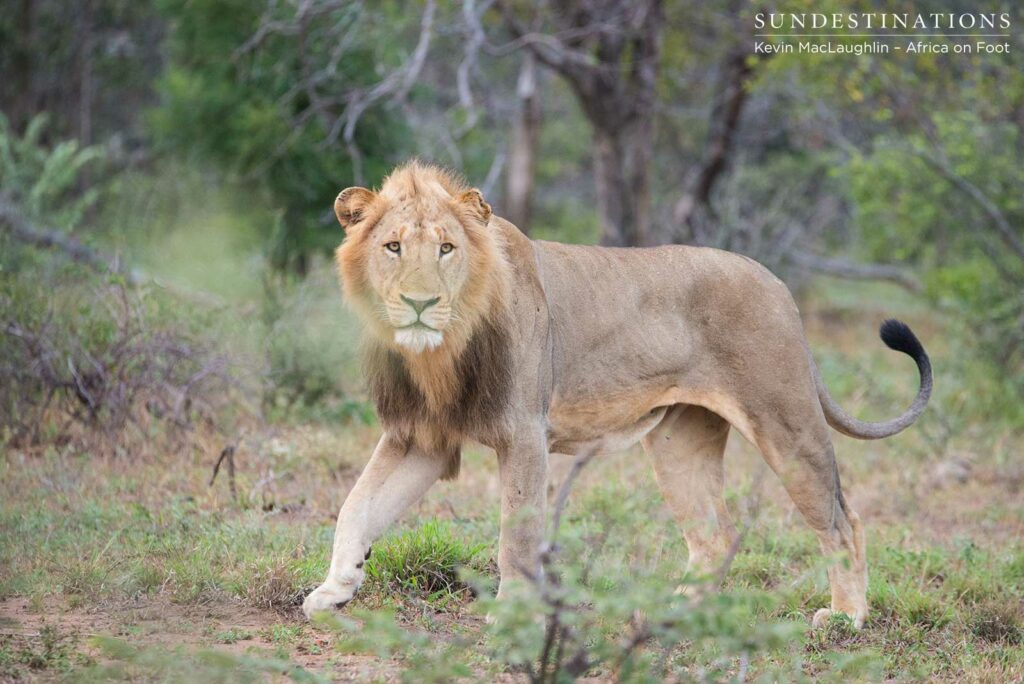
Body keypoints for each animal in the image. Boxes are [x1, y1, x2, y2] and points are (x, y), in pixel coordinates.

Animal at [302, 161, 932, 629]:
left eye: (447, 249)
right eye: (392, 247)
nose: (420, 303)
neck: (438, 352)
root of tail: (778, 284)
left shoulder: (523, 431)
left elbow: (517, 532)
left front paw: (513, 612)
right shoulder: (420, 436)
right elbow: (356, 506)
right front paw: (334, 588)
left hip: (785, 420)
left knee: (842, 522)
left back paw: (846, 617)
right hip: (680, 441)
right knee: (716, 534)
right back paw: (675, 610)